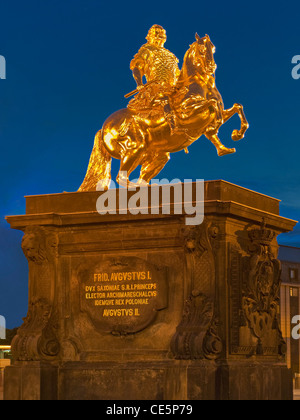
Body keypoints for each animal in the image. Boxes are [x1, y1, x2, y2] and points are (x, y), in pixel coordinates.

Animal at [78, 33, 248, 191]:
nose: (212, 67)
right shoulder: (187, 115)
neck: (197, 85)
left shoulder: (218, 112)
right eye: (201, 48)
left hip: (156, 155)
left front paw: (234, 137)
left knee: (142, 176)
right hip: (134, 149)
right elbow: (213, 107)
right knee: (122, 177)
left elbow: (237, 107)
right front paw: (215, 128)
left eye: (212, 48)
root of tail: (103, 128)